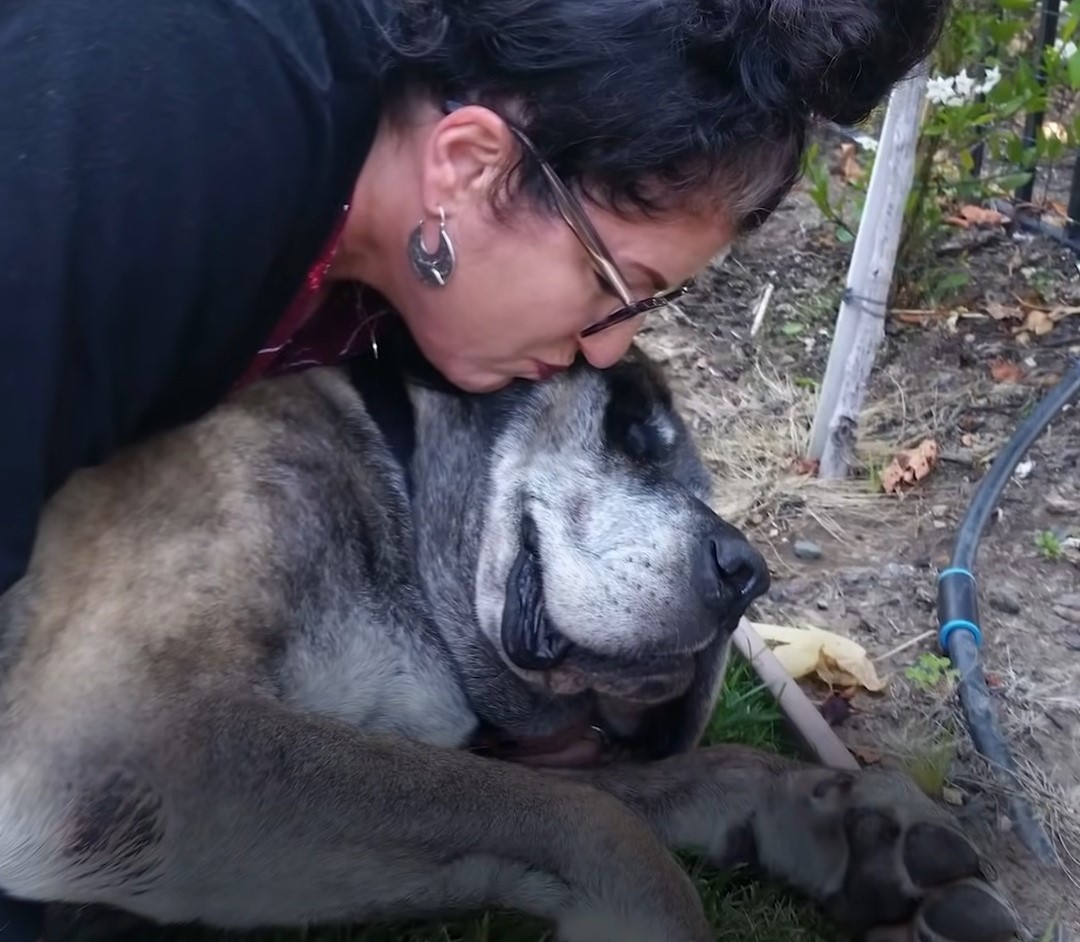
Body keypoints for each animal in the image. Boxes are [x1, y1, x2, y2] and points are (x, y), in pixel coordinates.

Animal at [0, 326, 1015, 941]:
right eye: (632, 433)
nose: (746, 573)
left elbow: (625, 790)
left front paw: (828, 818)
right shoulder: (138, 737)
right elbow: (594, 819)